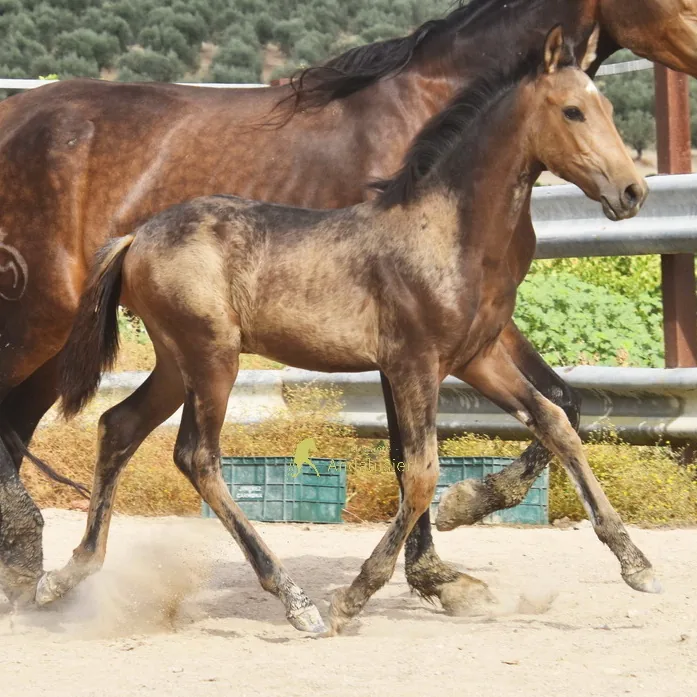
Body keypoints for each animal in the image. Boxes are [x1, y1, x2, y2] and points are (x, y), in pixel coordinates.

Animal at [1, 0, 696, 609]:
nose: (631, 191)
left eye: (607, 106)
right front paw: (372, 590)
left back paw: (65, 575)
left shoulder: (477, 358)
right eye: (574, 111)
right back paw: (293, 598)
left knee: (117, 427)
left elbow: (557, 420)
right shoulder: (412, 363)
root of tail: (137, 236)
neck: (448, 226)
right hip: (196, 356)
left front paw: (635, 565)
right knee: (195, 456)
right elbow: (418, 468)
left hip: (176, 362)